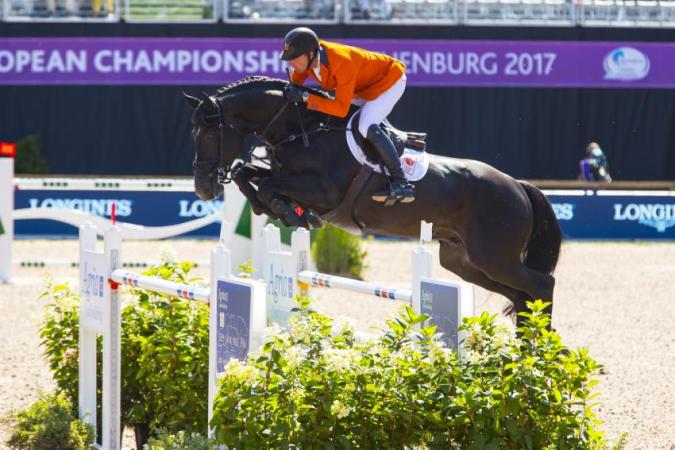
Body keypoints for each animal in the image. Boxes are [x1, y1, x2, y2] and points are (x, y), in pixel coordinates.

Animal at [183, 76, 562, 326]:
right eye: (193, 133)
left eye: (210, 133)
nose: (202, 188)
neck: (303, 129)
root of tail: (517, 186)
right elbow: (250, 175)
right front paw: (280, 209)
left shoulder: (322, 191)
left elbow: (265, 183)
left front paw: (291, 212)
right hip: (464, 261)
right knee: (521, 296)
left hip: (494, 257)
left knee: (541, 285)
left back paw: (540, 349)